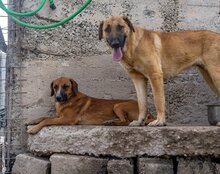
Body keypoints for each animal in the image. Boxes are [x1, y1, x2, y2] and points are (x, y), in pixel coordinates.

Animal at [26, 77, 154, 134]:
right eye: (55, 87)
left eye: (66, 86)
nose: (58, 98)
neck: (69, 100)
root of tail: (148, 113)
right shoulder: (60, 116)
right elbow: (44, 117)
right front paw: (33, 121)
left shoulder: (67, 119)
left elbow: (47, 120)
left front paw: (34, 128)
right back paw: (110, 121)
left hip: (118, 105)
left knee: (126, 121)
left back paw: (113, 122)